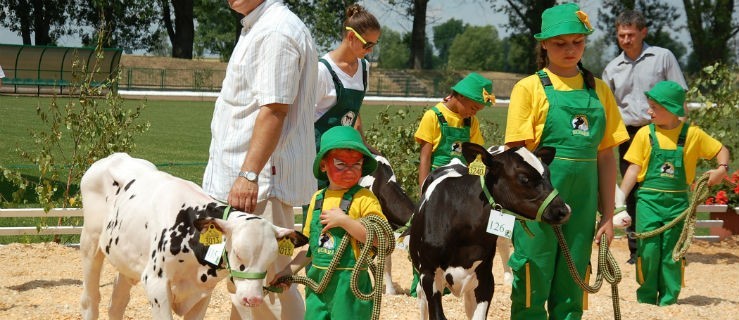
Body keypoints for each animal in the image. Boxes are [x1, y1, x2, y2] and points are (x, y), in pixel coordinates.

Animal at [81, 154, 310, 318]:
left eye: (271, 259)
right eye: (238, 253)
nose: (253, 299)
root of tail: (115, 157)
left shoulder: (202, 292)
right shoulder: (156, 283)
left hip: (125, 258)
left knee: (117, 303)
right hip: (90, 243)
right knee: (90, 300)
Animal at [408, 144, 568, 318]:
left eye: (548, 174)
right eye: (524, 178)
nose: (563, 210)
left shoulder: (485, 277)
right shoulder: (429, 274)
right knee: (422, 300)